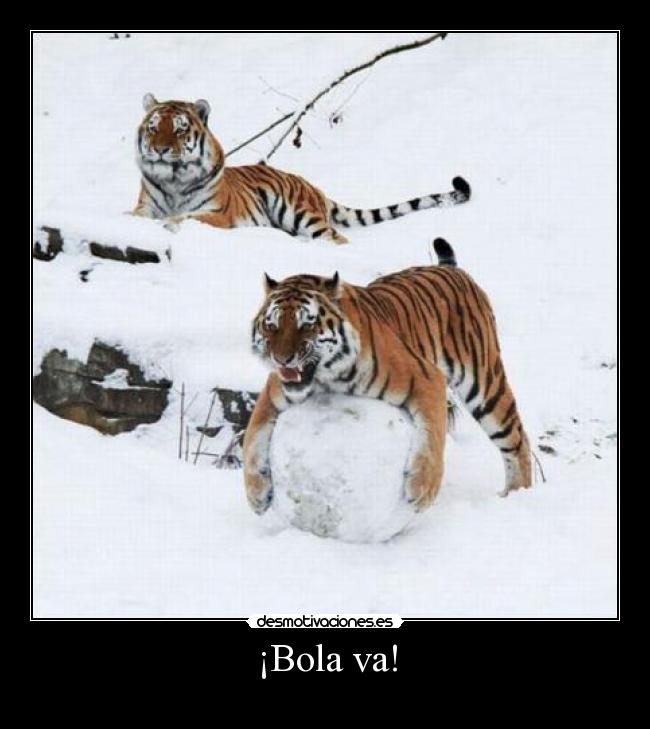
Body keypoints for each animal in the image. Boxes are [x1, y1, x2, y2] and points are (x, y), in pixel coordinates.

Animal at [133, 94, 471, 244]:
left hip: (298, 212)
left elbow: (185, 217)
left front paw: (169, 225)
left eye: (179, 129)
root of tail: (313, 187)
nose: (160, 149)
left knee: (336, 238)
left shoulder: (219, 214)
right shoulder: (145, 206)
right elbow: (137, 216)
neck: (174, 180)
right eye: (154, 127)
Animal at [243, 237, 532, 515]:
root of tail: (451, 269)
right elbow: (252, 437)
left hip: (484, 385)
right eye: (271, 325)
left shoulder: (427, 378)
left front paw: (422, 489)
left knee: (517, 440)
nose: (282, 359)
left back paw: (518, 495)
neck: (328, 377)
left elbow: (433, 436)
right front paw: (256, 494)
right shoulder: (272, 393)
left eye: (307, 324)